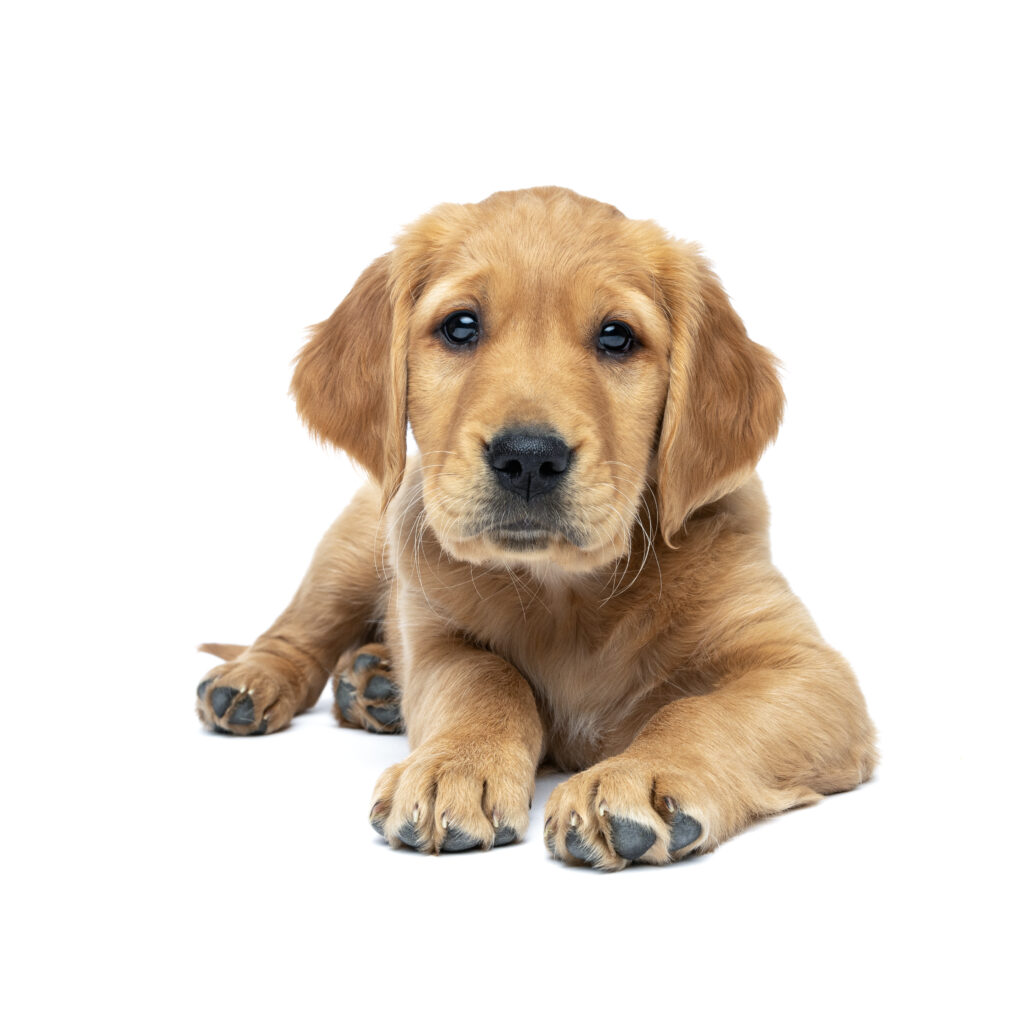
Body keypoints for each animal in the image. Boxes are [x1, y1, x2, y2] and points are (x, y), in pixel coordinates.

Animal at [195, 186, 876, 872]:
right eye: (460, 326)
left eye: (616, 337)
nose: (528, 458)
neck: (567, 595)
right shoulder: (435, 635)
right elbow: (486, 680)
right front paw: (453, 767)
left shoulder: (806, 670)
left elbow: (701, 712)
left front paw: (640, 775)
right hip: (358, 542)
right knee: (300, 628)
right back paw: (256, 682)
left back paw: (371, 680)